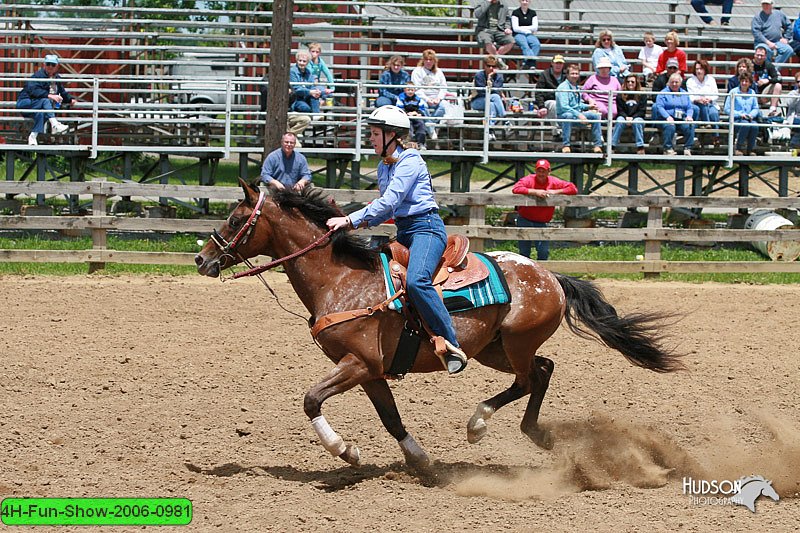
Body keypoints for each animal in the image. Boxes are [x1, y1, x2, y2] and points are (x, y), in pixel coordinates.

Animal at [197, 180, 684, 470]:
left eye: (237, 219)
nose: (203, 259)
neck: (340, 279)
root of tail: (550, 276)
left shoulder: (358, 363)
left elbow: (311, 399)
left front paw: (346, 451)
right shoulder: (371, 371)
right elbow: (391, 419)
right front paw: (421, 462)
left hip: (514, 344)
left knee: (529, 379)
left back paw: (479, 424)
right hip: (494, 348)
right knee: (543, 371)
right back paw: (534, 434)